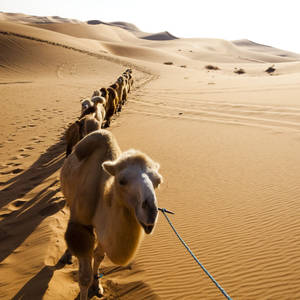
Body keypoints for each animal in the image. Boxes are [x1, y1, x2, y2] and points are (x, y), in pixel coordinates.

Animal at [59, 131, 162, 300]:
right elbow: (84, 277)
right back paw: (66, 256)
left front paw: (97, 286)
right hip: (68, 199)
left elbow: (99, 256)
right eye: (121, 181)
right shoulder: (82, 225)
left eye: (158, 182)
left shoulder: (104, 232)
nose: (151, 211)